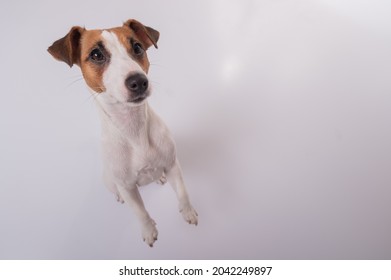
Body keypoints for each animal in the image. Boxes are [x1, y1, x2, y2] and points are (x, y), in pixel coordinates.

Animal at [47, 20, 198, 247]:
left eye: (137, 48)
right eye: (96, 54)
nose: (139, 81)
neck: (134, 129)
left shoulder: (172, 164)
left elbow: (182, 192)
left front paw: (188, 212)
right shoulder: (127, 187)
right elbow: (140, 211)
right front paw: (149, 230)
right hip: (110, 181)